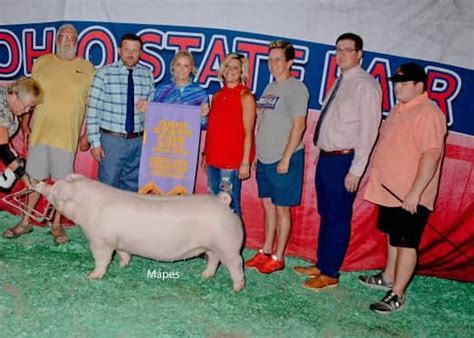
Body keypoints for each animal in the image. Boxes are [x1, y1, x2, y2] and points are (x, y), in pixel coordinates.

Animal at [34, 174, 244, 290]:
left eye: (55, 189)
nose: (39, 183)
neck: (88, 207)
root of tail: (223, 203)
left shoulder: (101, 241)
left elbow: (102, 260)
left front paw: (92, 276)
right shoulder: (119, 241)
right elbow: (123, 253)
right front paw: (123, 265)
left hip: (228, 245)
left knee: (236, 264)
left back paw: (237, 288)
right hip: (212, 246)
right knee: (214, 260)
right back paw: (205, 276)